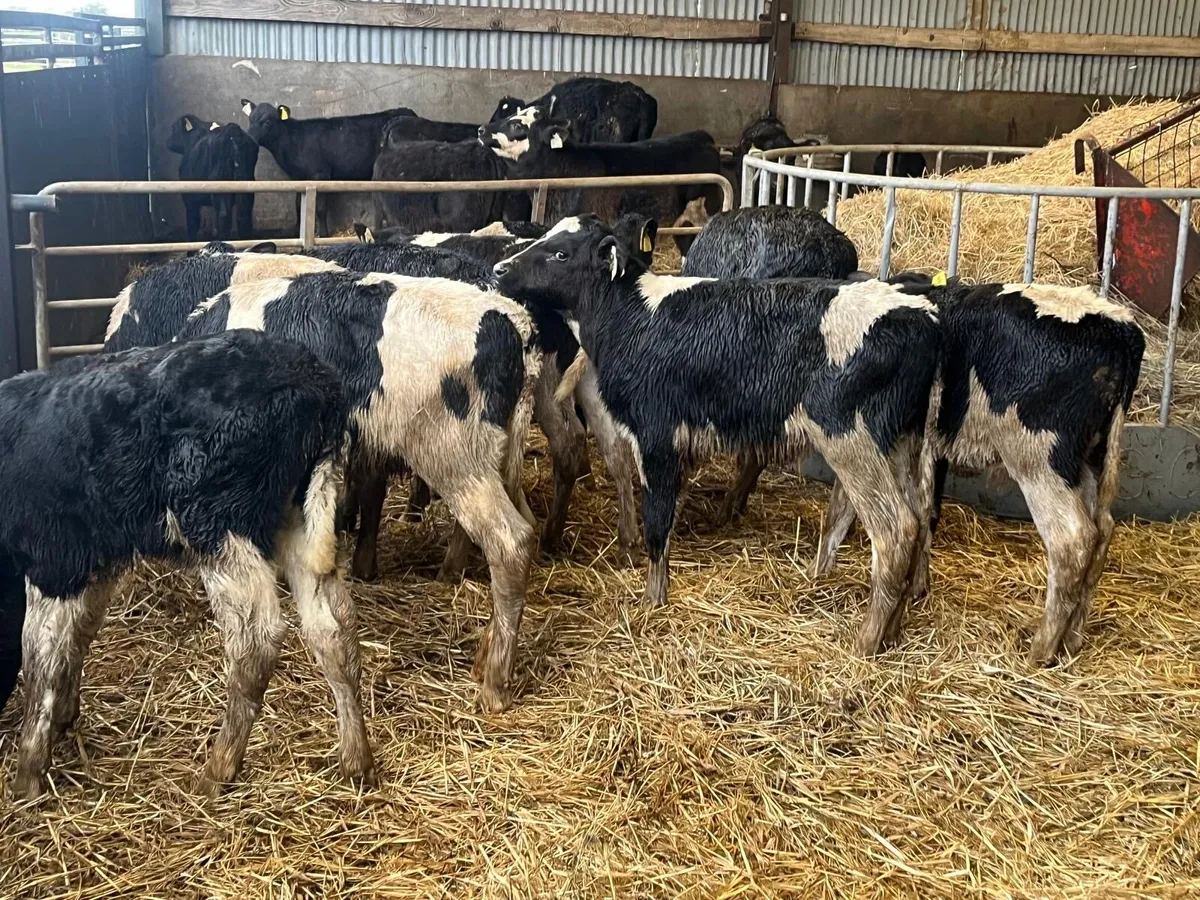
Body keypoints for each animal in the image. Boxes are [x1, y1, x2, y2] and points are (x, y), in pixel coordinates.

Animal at [0, 330, 374, 798]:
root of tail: (313, 378)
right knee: (335, 629)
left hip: (216, 522)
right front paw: (65, 718)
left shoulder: (55, 558)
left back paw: (218, 770)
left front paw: (27, 776)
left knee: (257, 639)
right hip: (301, 519)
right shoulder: (97, 561)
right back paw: (357, 760)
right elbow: (78, 635)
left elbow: (40, 659)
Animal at [240, 100, 416, 235]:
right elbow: (298, 205)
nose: (249, 138)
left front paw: (323, 233)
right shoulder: (298, 177)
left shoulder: (320, 174)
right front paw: (298, 231)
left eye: (267, 122)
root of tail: (407, 111)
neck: (292, 140)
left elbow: (320, 208)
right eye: (250, 119)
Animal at [495, 215, 942, 656]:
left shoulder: (656, 435)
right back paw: (893, 629)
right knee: (921, 517)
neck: (634, 318)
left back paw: (866, 641)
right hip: (901, 442)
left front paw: (652, 602)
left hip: (850, 437)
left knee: (897, 529)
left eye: (560, 253)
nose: (500, 268)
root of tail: (923, 318)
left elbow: (657, 520)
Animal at [813, 277, 1144, 665]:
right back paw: (1072, 640)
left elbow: (846, 509)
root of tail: (1119, 325)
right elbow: (920, 512)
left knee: (1073, 540)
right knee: (1102, 532)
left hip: (1040, 458)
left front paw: (819, 574)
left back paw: (1040, 651)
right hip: (1090, 457)